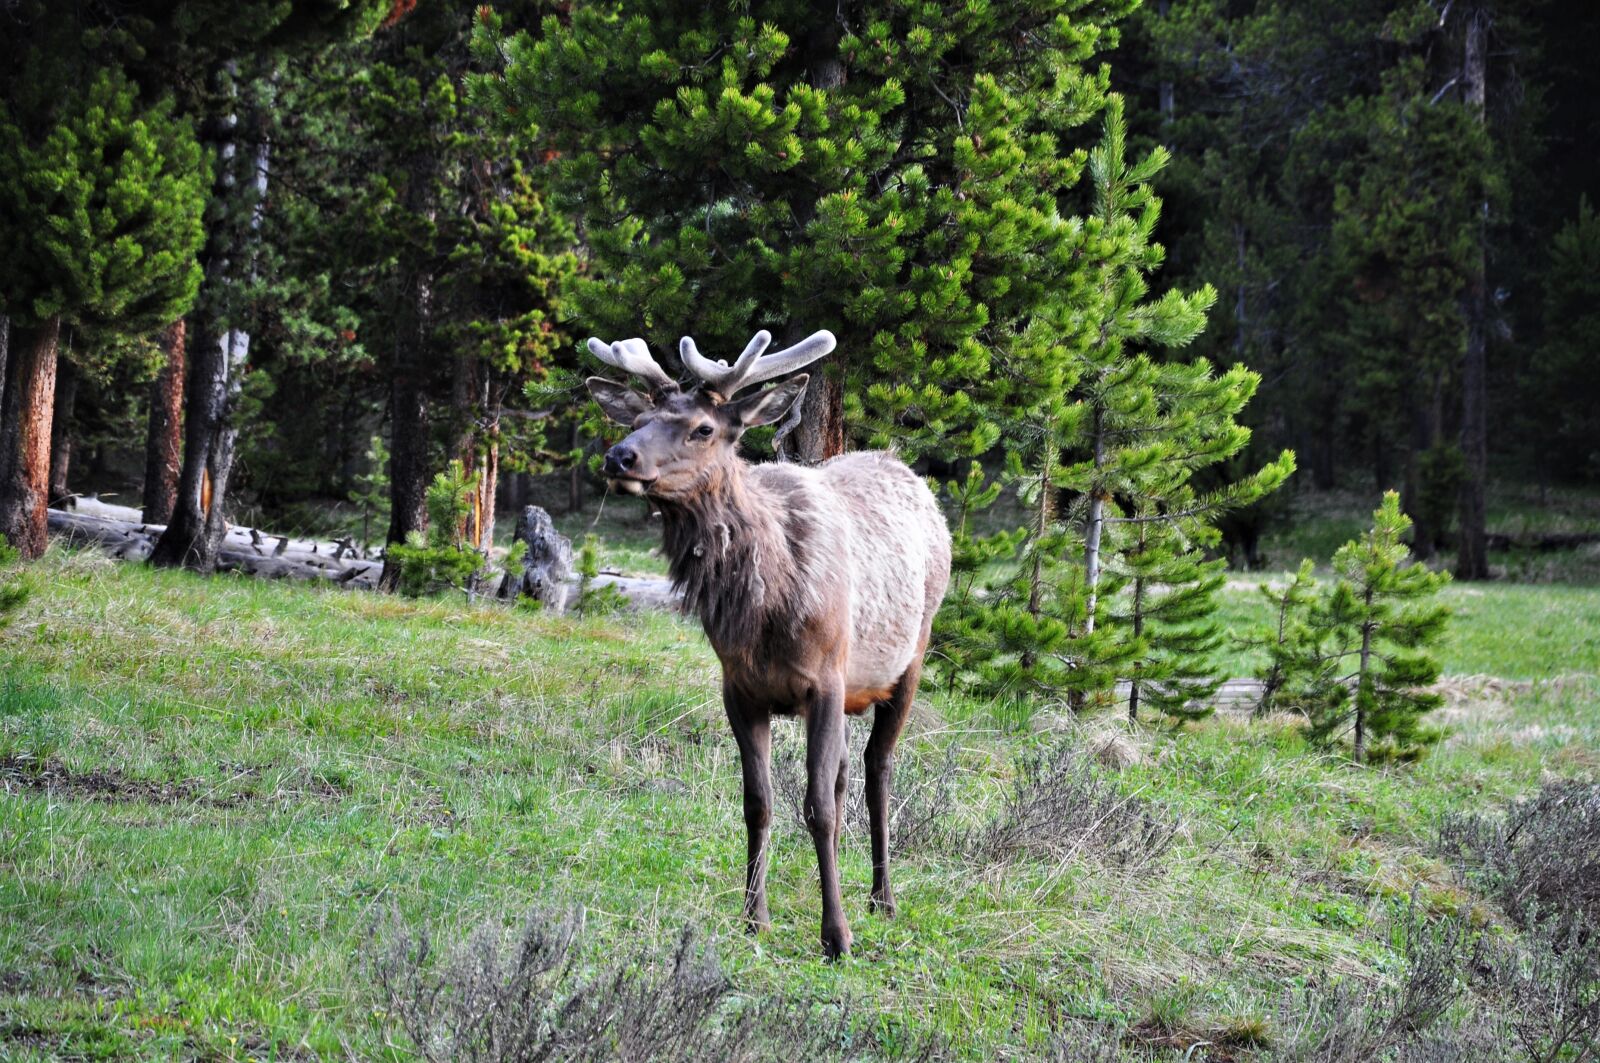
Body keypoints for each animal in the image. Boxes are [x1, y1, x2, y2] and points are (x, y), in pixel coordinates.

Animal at [584, 328, 951, 960]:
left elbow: (819, 808)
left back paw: (882, 897)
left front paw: (836, 936)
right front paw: (754, 917)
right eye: (642, 418)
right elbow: (759, 803)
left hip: (910, 656)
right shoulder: (740, 689)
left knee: (878, 769)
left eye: (703, 429)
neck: (763, 611)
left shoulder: (824, 679)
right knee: (846, 772)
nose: (619, 457)